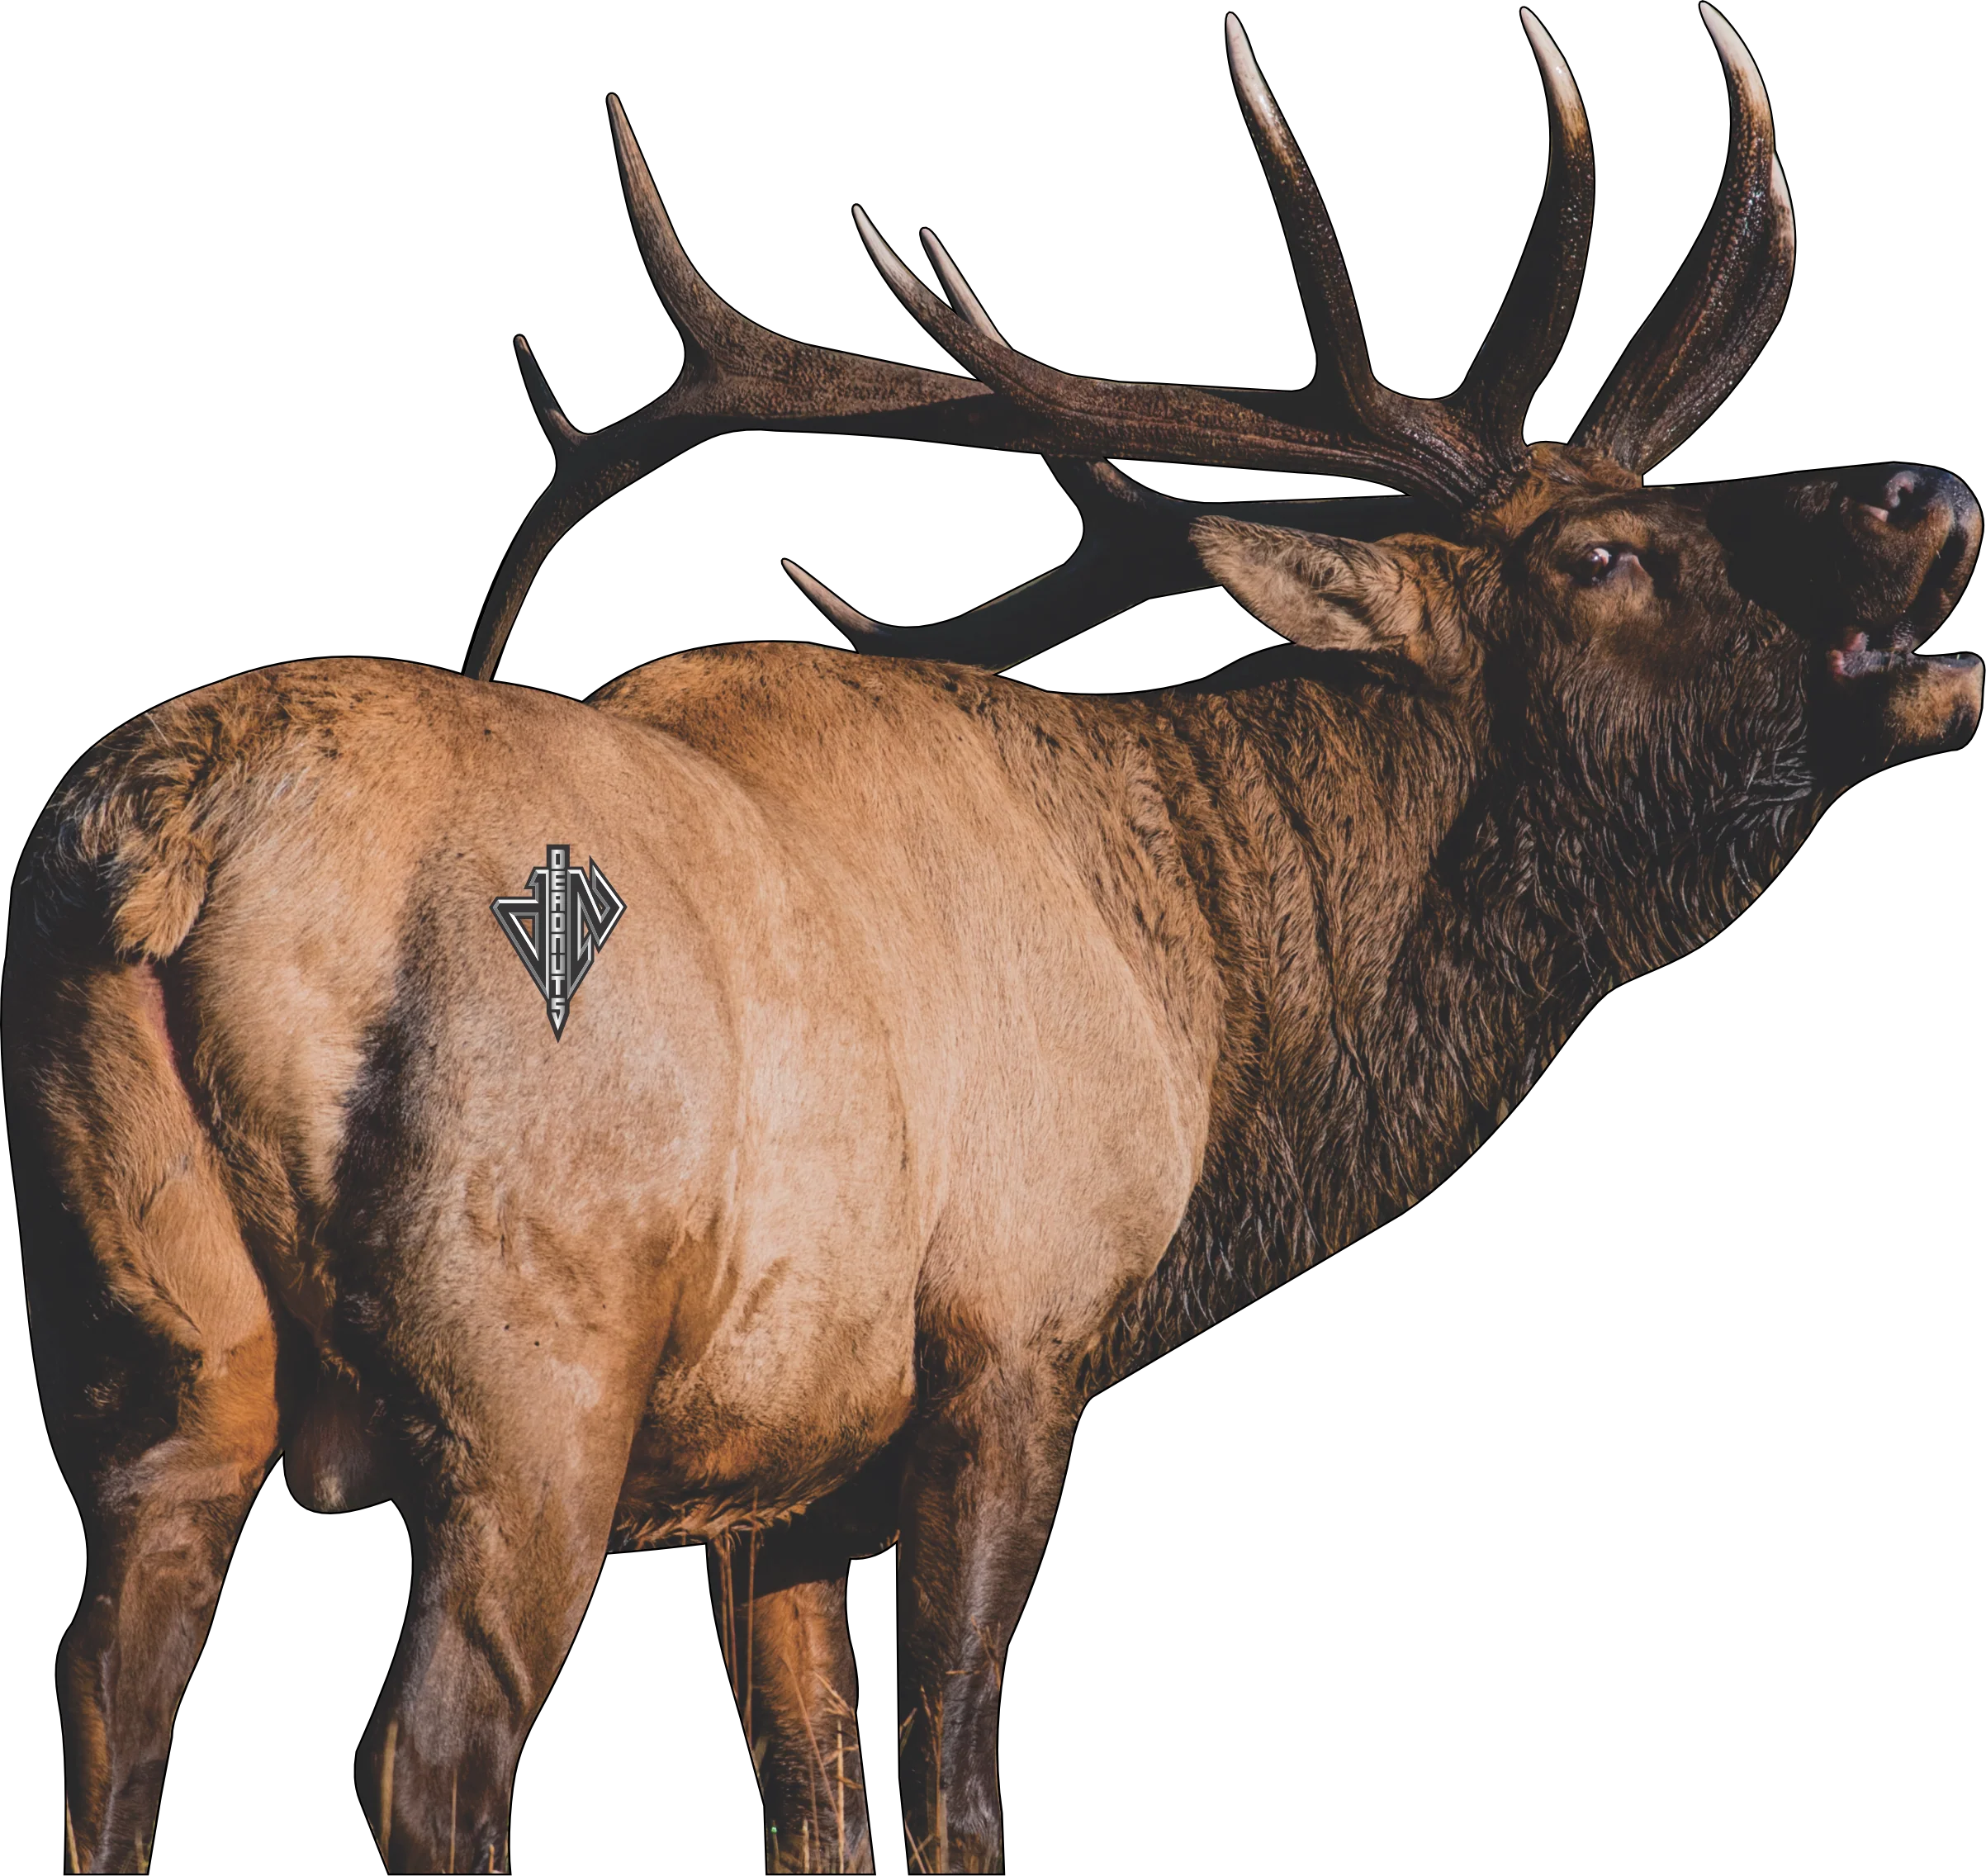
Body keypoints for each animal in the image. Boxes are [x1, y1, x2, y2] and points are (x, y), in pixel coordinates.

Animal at [4, 6, 1979, 1873]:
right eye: (1598, 552)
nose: (1925, 486)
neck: (1208, 1014)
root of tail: (164, 846)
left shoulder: (780, 1478)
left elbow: (815, 1802)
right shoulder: (1012, 1350)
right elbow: (959, 1781)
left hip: (143, 1358)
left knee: (106, 1691)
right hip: (527, 1374)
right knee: (427, 1750)